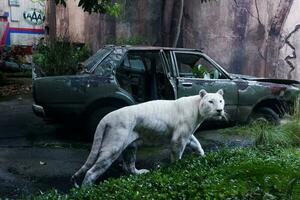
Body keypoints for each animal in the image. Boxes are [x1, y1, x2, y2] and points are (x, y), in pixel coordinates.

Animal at [71, 89, 225, 186]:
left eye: (221, 101)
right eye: (211, 101)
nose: (220, 110)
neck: (198, 111)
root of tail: (106, 117)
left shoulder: (187, 135)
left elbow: (197, 144)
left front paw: (203, 157)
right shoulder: (179, 138)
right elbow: (177, 155)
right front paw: (177, 169)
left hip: (130, 147)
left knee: (129, 166)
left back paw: (141, 173)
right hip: (113, 147)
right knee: (91, 172)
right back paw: (86, 191)